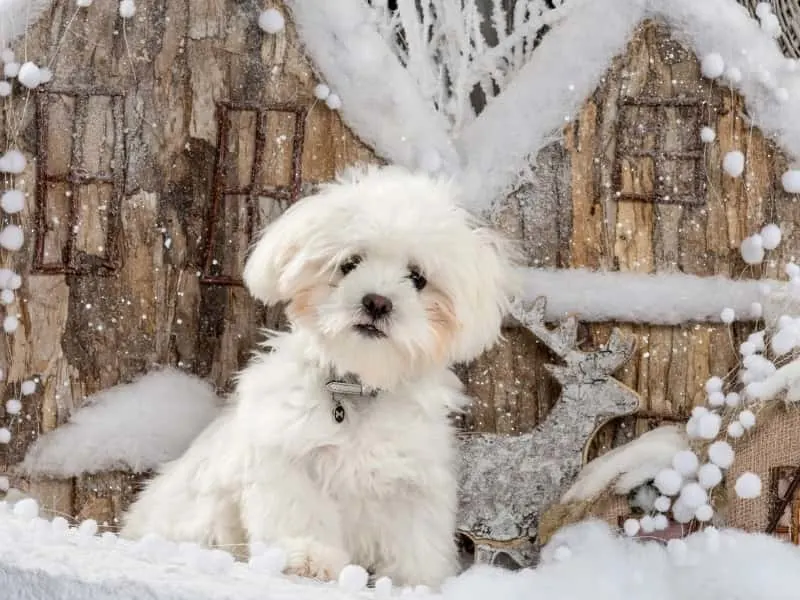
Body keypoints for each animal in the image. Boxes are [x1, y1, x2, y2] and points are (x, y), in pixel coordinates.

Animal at [121, 164, 516, 584]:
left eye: (418, 277)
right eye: (349, 263)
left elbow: (415, 539)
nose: (377, 302)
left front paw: (417, 581)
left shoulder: (411, 482)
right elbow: (302, 513)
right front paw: (309, 557)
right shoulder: (290, 457)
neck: (357, 387)